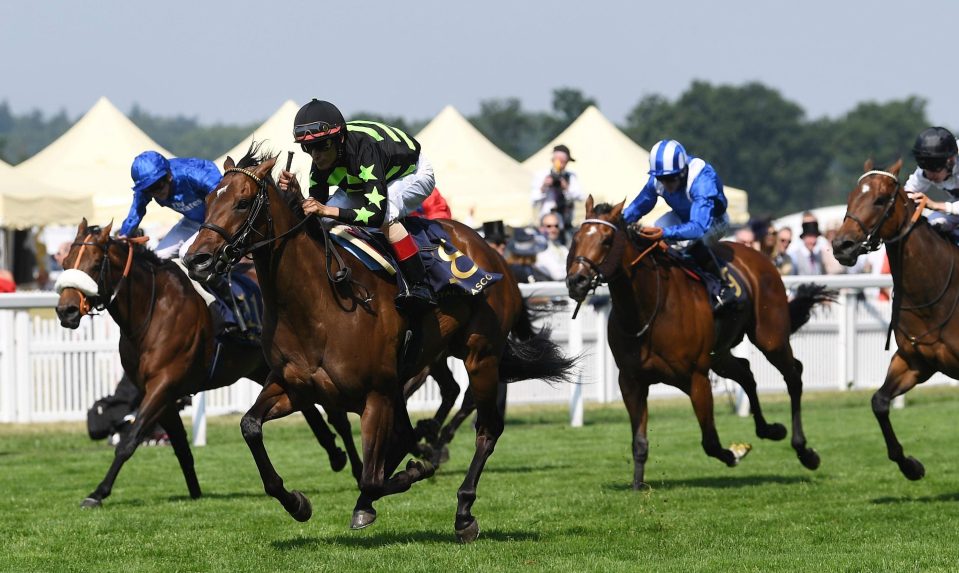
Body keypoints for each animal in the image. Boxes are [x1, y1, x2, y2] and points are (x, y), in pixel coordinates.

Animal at [56, 218, 364, 504]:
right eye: (66, 262)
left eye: (96, 264)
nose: (65, 311)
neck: (152, 311)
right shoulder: (159, 393)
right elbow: (180, 447)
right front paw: (195, 492)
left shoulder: (162, 385)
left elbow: (129, 440)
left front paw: (98, 492)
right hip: (267, 369)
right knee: (311, 411)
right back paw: (335, 455)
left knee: (338, 418)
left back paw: (356, 470)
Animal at [183, 145, 572, 544]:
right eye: (208, 200)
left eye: (243, 202)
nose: (195, 259)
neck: (318, 303)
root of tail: (496, 256)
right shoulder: (295, 386)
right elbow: (250, 426)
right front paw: (297, 502)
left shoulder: (376, 393)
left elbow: (371, 476)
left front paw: (411, 473)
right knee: (419, 426)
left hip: (481, 355)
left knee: (486, 430)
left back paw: (463, 510)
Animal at [568, 196, 836, 488]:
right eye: (576, 238)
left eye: (606, 240)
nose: (576, 280)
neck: (647, 310)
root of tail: (759, 256)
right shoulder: (631, 381)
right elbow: (639, 442)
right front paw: (638, 486)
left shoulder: (696, 377)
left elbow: (710, 441)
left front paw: (735, 454)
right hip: (719, 355)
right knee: (746, 372)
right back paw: (770, 429)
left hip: (770, 338)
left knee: (793, 375)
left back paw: (805, 451)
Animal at [828, 159, 956, 480]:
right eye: (850, 197)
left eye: (880, 199)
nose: (842, 245)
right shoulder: (914, 361)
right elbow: (879, 402)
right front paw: (910, 465)